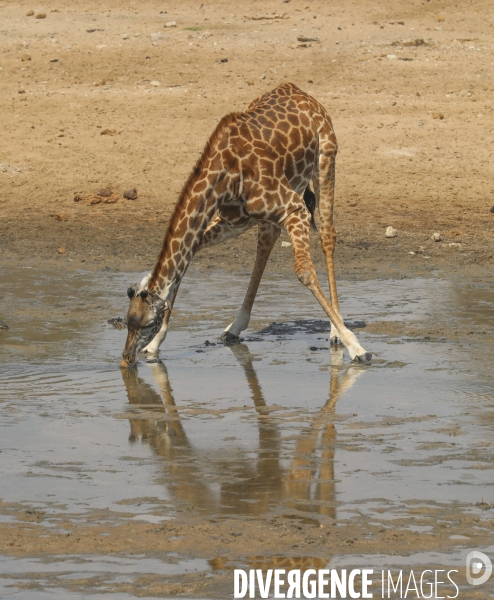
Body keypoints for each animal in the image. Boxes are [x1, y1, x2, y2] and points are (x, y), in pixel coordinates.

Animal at [121, 82, 372, 368]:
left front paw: (357, 347)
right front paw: (155, 344)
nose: (126, 360)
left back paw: (335, 331)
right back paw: (235, 327)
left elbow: (305, 272)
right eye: (126, 322)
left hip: (326, 160)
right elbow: (189, 255)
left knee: (327, 236)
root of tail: (301, 92)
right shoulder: (234, 222)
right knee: (267, 241)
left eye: (146, 323)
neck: (225, 173)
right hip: (273, 204)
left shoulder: (294, 209)